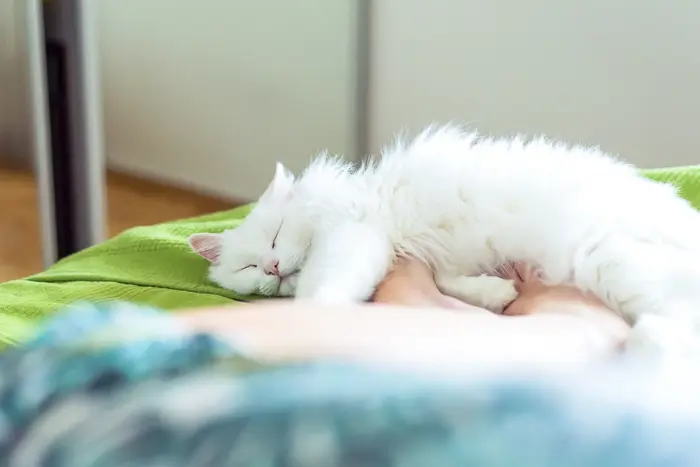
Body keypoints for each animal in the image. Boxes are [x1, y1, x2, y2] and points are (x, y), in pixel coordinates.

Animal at [189, 126, 700, 356]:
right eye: (249, 268)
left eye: (276, 239)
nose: (273, 268)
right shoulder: (423, 259)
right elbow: (455, 282)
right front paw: (496, 294)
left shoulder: (355, 234)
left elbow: (324, 286)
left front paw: (314, 316)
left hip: (609, 261)